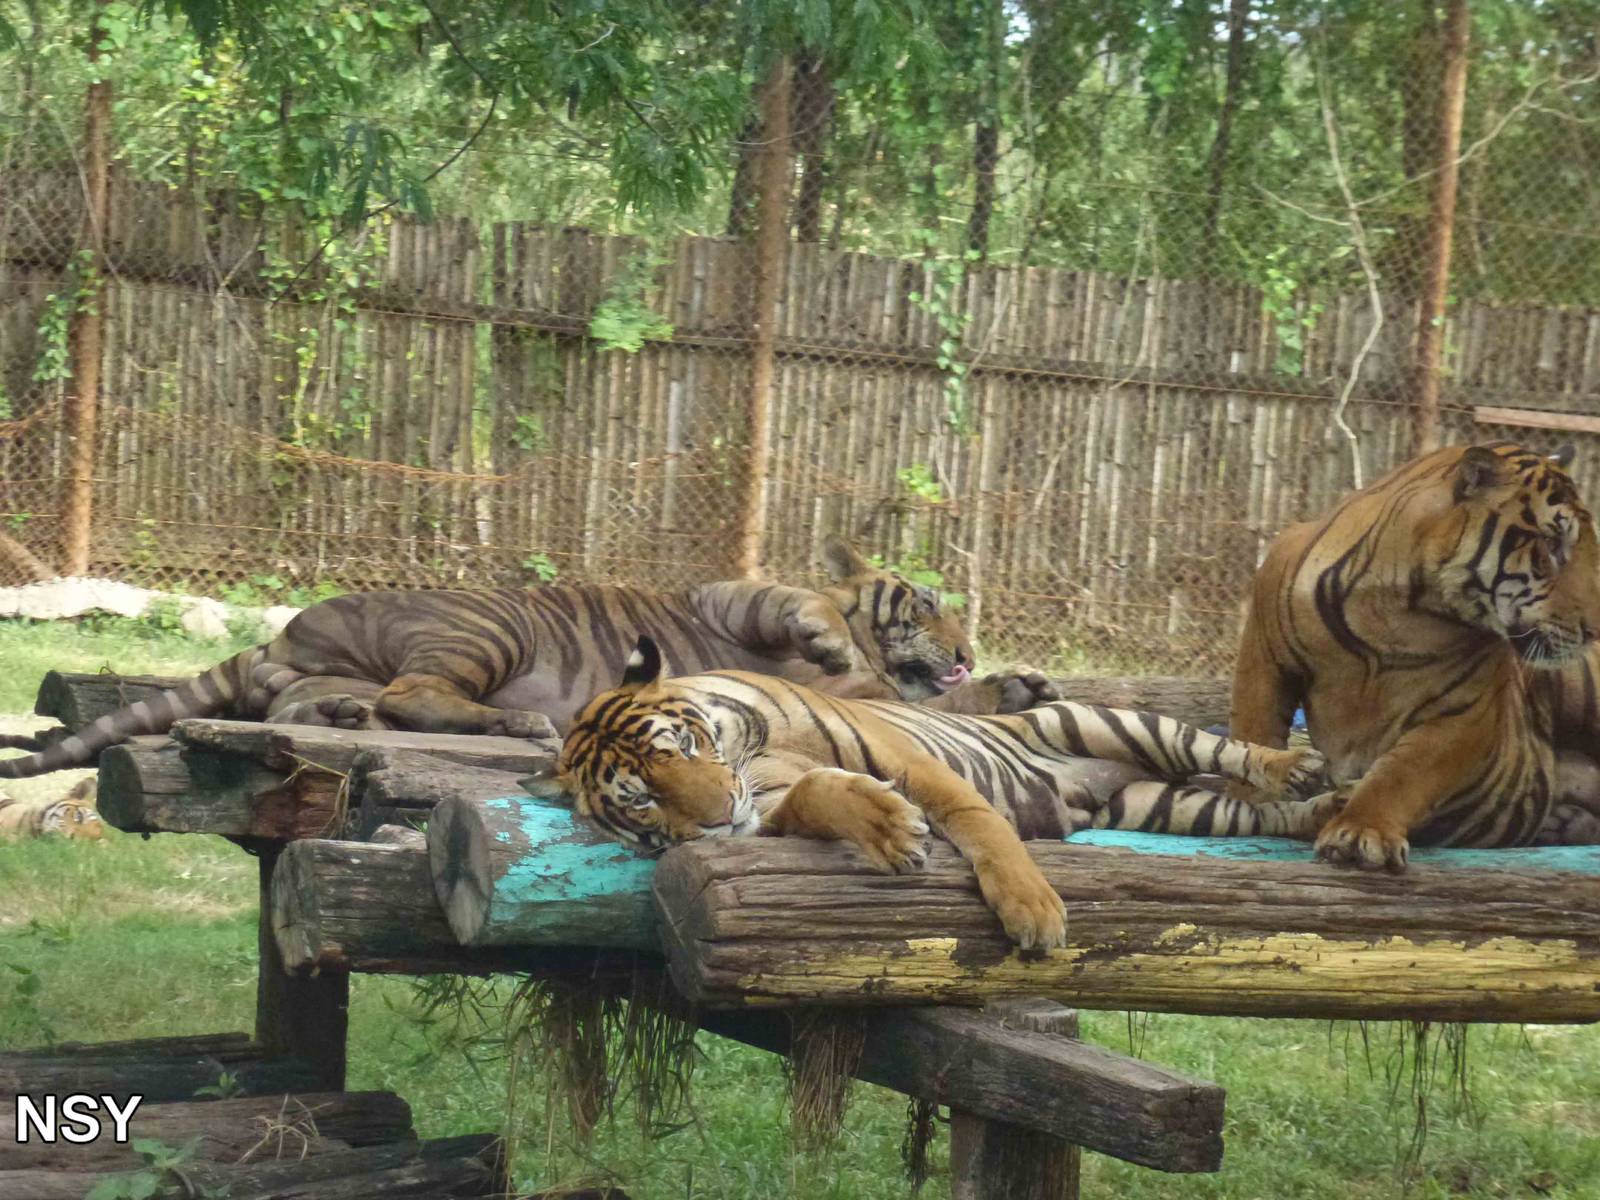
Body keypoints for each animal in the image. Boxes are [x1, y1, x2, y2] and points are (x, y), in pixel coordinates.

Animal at [529, 635, 1330, 949]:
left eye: (683, 747)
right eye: (640, 798)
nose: (721, 817)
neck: (743, 750)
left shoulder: (906, 754)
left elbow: (977, 820)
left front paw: (1032, 909)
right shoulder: (776, 799)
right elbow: (820, 791)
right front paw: (888, 828)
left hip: (1111, 723)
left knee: (1225, 750)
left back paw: (1300, 768)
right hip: (1168, 806)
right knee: (1261, 811)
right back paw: (1325, 816)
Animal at [1224, 440, 1600, 871]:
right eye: (1552, 545)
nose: (1595, 630)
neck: (1397, 609)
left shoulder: (1462, 714)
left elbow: (1402, 773)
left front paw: (1361, 832)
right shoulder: (1263, 660)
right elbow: (1254, 732)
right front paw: (1251, 807)